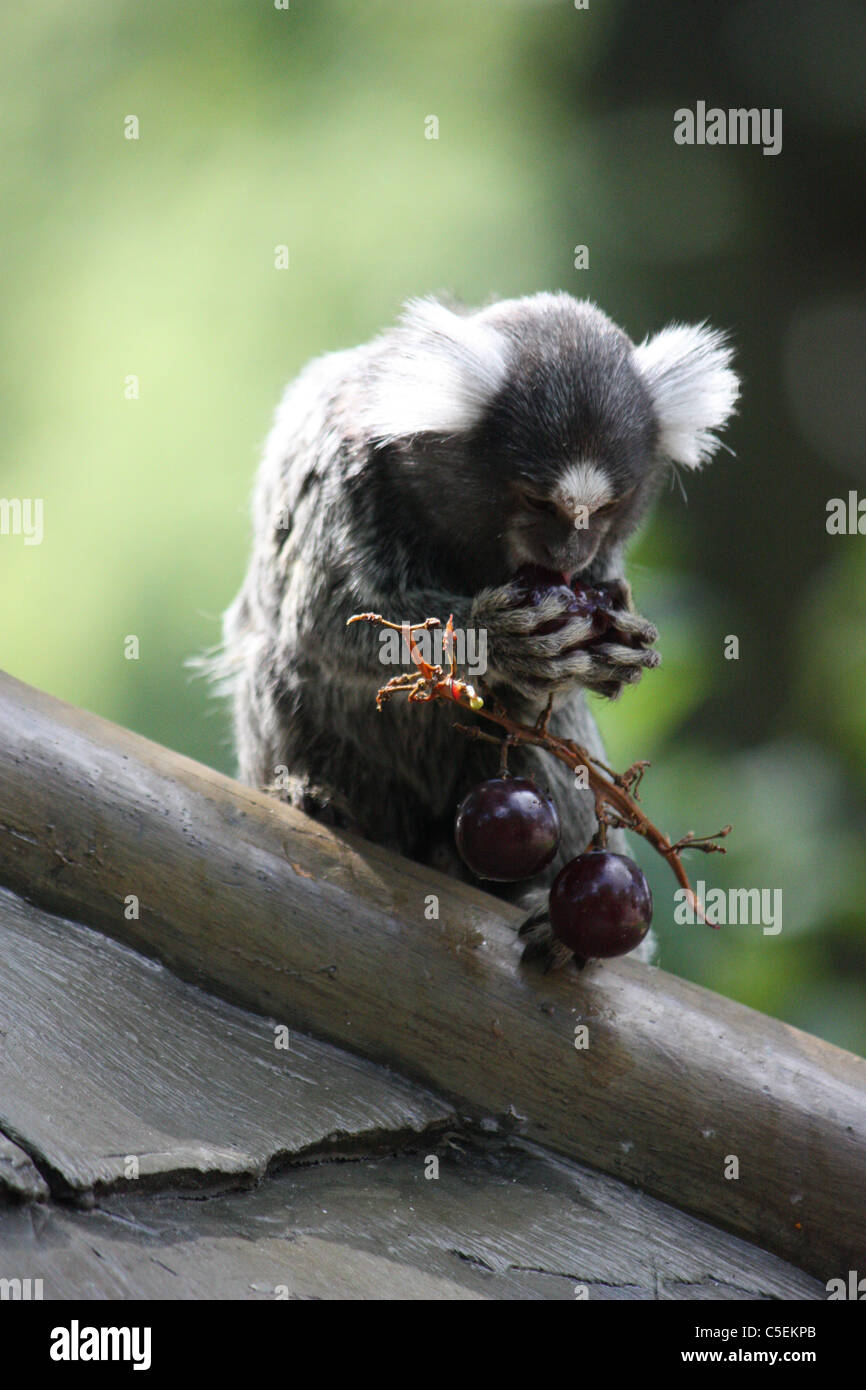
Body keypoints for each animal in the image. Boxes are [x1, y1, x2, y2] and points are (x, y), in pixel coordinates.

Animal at [213, 292, 738, 963]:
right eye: (538, 500)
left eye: (608, 508)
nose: (568, 551)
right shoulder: (342, 468)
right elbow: (325, 617)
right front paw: (498, 638)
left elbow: (569, 675)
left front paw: (615, 648)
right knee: (282, 659)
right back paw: (311, 795)